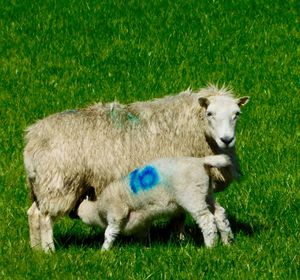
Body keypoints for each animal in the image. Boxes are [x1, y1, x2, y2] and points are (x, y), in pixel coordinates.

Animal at [76, 154, 233, 250]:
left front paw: (104, 251)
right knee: (220, 214)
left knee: (207, 220)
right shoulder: (141, 219)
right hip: (207, 194)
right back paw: (227, 242)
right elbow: (143, 233)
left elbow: (110, 232)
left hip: (192, 197)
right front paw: (143, 247)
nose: (73, 214)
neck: (97, 207)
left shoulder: (116, 213)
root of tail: (202, 162)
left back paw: (210, 246)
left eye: (78, 202)